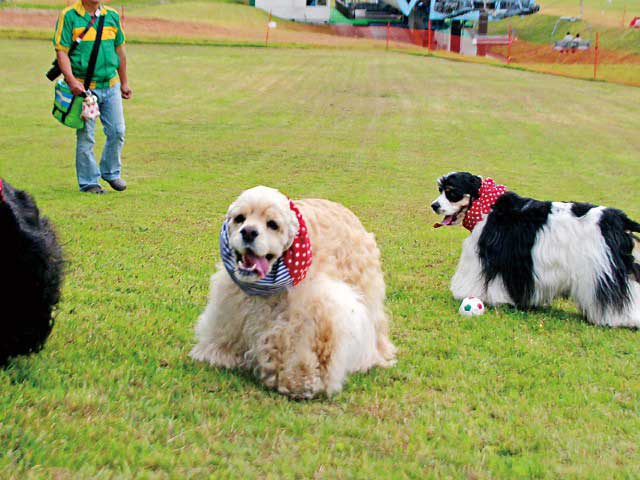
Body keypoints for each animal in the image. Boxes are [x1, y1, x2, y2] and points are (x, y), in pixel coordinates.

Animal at [430, 172, 640, 326]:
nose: (434, 205)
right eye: (440, 190)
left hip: (603, 271)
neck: (486, 205)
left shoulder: (487, 258)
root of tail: (619, 219)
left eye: (451, 192)